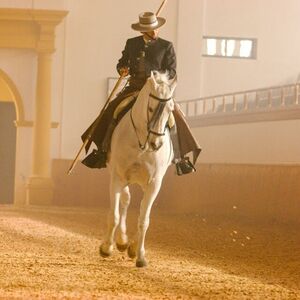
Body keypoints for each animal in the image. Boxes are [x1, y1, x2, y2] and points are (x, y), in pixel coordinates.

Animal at [99, 71, 177, 268]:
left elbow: (144, 220)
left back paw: (129, 245)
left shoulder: (154, 184)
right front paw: (106, 248)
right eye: (150, 108)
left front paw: (139, 255)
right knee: (125, 201)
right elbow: (114, 215)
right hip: (119, 177)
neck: (142, 142)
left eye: (170, 110)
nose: (156, 144)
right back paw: (121, 241)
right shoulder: (117, 177)